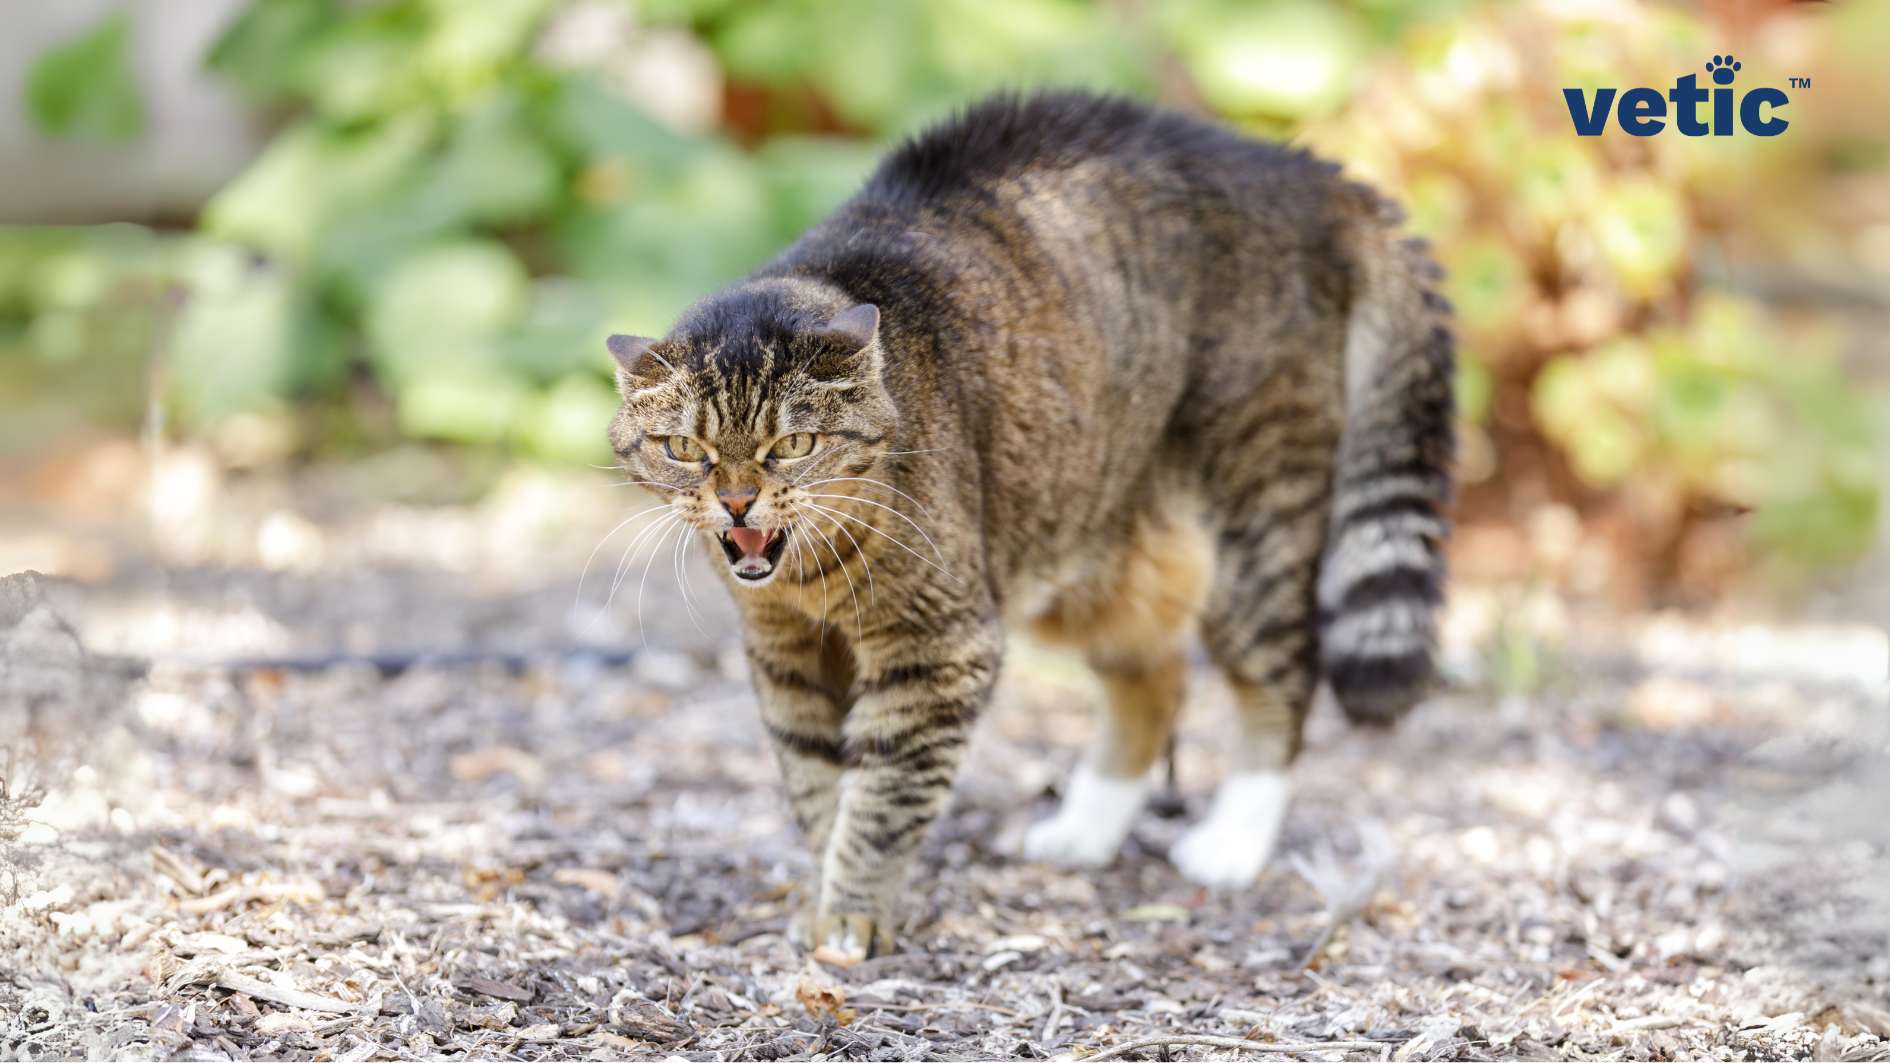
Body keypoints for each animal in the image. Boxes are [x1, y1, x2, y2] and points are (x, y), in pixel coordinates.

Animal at [612, 88, 1451, 953]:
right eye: (686, 449)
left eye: (792, 445)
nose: (737, 501)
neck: (812, 577)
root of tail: (1310, 174)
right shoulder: (786, 653)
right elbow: (816, 784)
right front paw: (820, 893)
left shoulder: (936, 646)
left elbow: (880, 799)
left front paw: (851, 911)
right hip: (1089, 539)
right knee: (1156, 679)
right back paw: (1086, 829)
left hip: (1256, 524)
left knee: (1282, 675)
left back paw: (1233, 841)